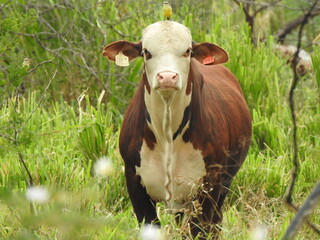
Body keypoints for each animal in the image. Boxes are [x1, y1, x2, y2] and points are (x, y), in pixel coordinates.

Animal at [102, 21, 252, 240]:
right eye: (146, 52)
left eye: (187, 51)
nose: (167, 77)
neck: (167, 133)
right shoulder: (134, 182)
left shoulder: (209, 186)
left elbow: (199, 230)